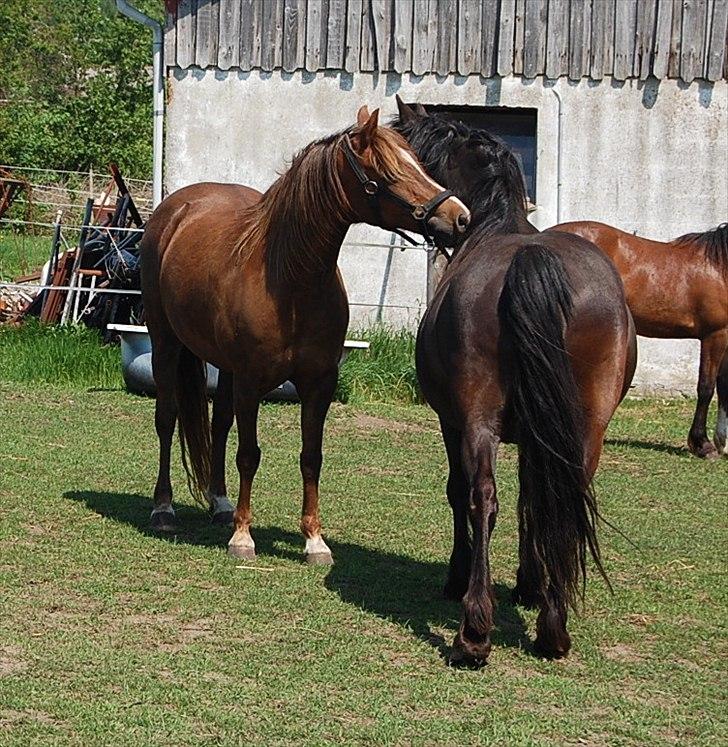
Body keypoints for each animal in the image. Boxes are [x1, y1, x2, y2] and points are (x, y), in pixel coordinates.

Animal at [141, 108, 472, 564]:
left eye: (419, 163)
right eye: (386, 173)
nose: (460, 217)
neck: (291, 281)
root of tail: (174, 210)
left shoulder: (319, 383)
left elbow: (311, 457)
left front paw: (314, 540)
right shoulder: (251, 382)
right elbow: (249, 455)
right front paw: (243, 538)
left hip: (224, 367)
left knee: (219, 422)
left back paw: (221, 504)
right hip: (166, 343)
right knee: (167, 418)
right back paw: (164, 508)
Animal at [392, 99, 636, 668]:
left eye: (410, 157)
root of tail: (531, 257)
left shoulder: (452, 421)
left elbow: (461, 491)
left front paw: (459, 577)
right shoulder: (537, 433)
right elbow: (534, 494)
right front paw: (530, 583)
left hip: (477, 419)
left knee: (481, 495)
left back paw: (473, 632)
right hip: (584, 426)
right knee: (564, 495)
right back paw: (553, 627)